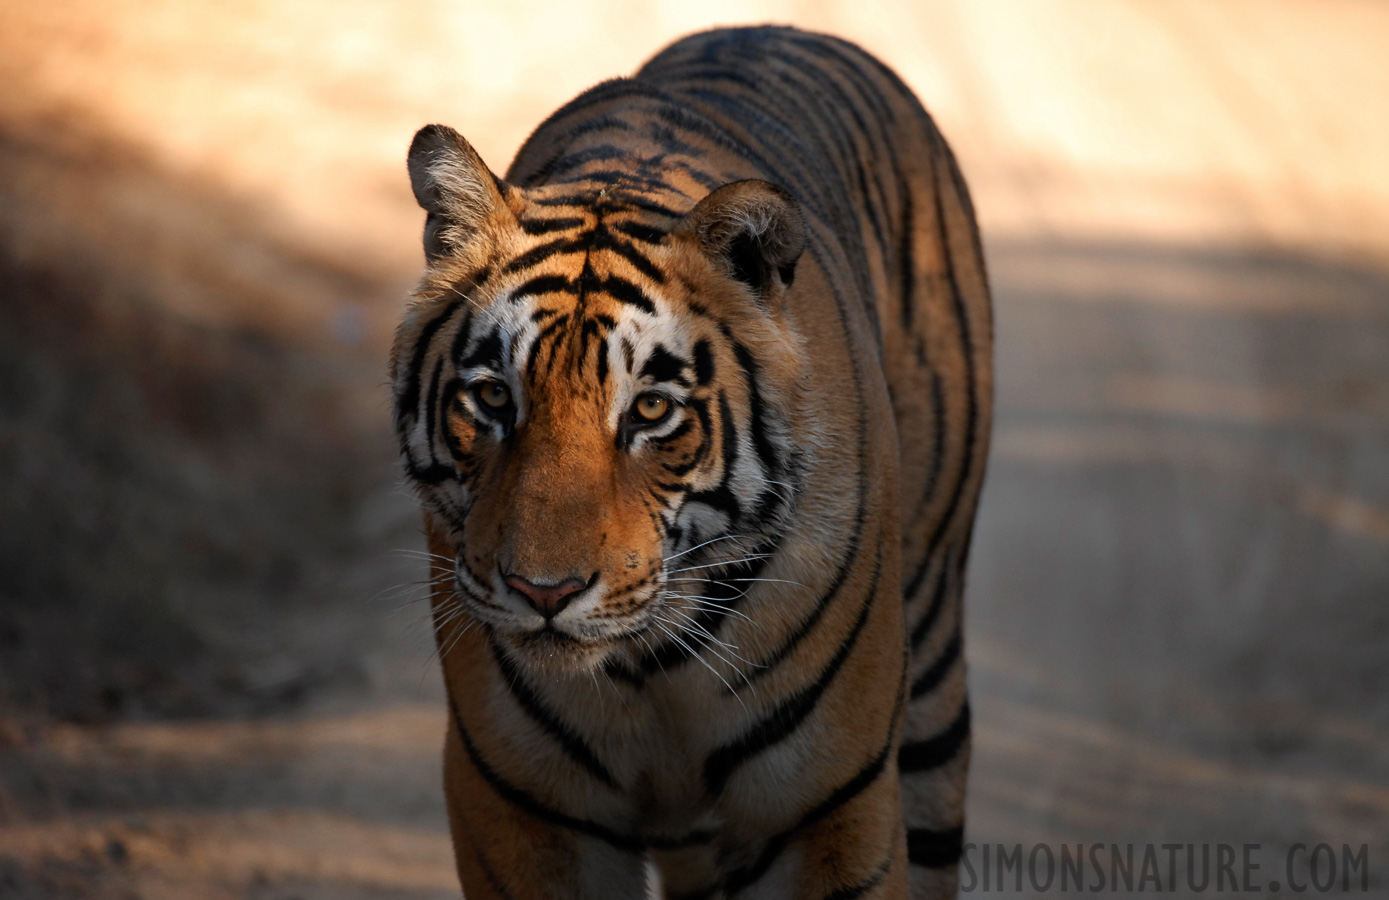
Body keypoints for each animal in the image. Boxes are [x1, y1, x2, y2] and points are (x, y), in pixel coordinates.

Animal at [394, 24, 988, 894]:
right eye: (495, 399)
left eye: (650, 410)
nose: (544, 594)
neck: (649, 667)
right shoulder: (520, 801)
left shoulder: (827, 804)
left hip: (934, 641)